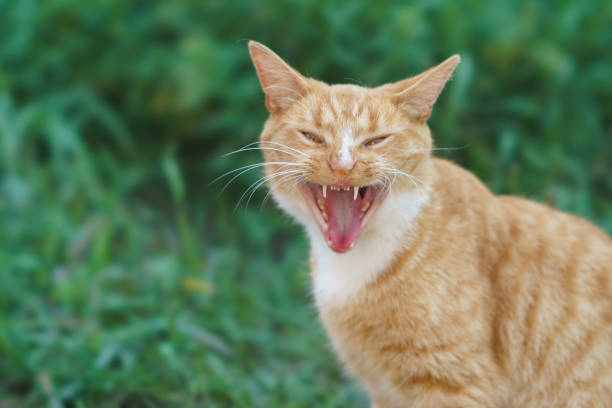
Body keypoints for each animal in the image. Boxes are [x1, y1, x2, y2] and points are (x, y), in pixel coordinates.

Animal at [246, 41, 612, 408]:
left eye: (375, 141)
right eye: (312, 137)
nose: (342, 166)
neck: (357, 262)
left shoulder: (456, 384)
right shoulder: (384, 390)